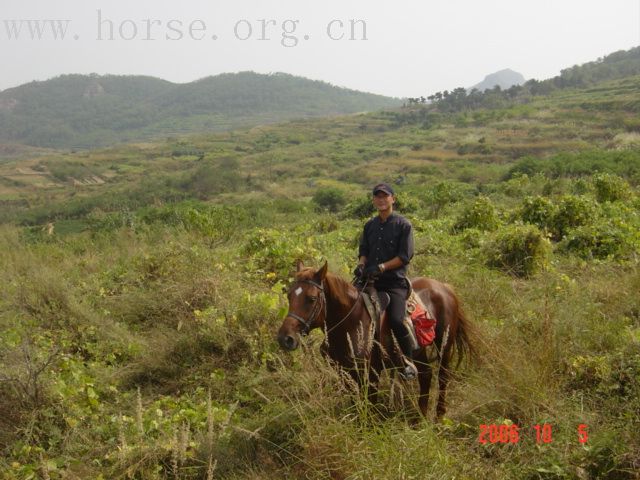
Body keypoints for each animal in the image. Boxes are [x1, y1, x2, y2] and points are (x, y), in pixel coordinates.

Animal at [276, 260, 476, 418]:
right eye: (289, 295)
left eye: (311, 299)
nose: (285, 338)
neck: (351, 322)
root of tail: (445, 287)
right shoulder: (345, 373)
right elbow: (356, 404)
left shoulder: (371, 373)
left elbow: (370, 404)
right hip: (419, 351)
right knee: (426, 375)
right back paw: (420, 417)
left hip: (444, 345)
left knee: (442, 377)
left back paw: (439, 415)